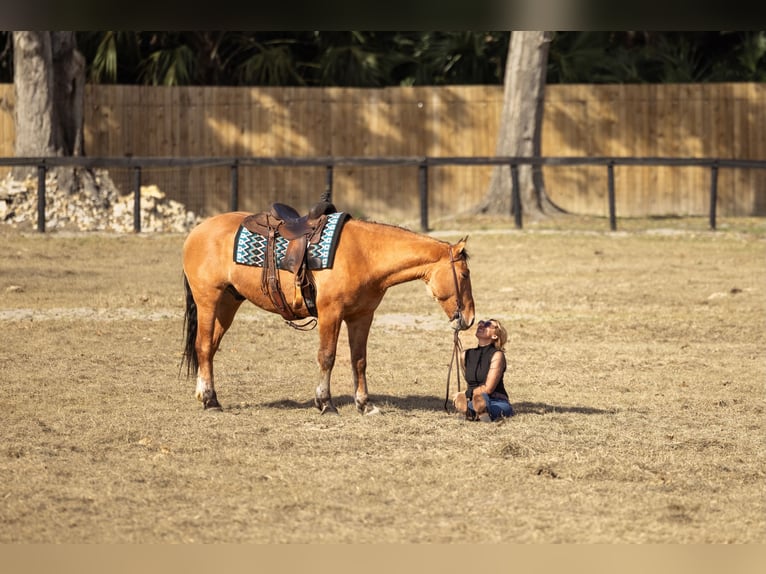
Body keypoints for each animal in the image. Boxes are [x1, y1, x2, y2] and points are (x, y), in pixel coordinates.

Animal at [181, 210, 475, 415]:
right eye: (464, 274)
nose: (470, 319)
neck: (364, 255)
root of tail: (196, 232)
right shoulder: (330, 314)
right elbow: (327, 357)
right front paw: (325, 403)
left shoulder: (361, 317)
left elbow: (359, 360)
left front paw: (365, 404)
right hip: (208, 301)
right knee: (204, 346)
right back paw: (211, 401)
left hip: (228, 303)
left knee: (207, 348)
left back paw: (204, 394)